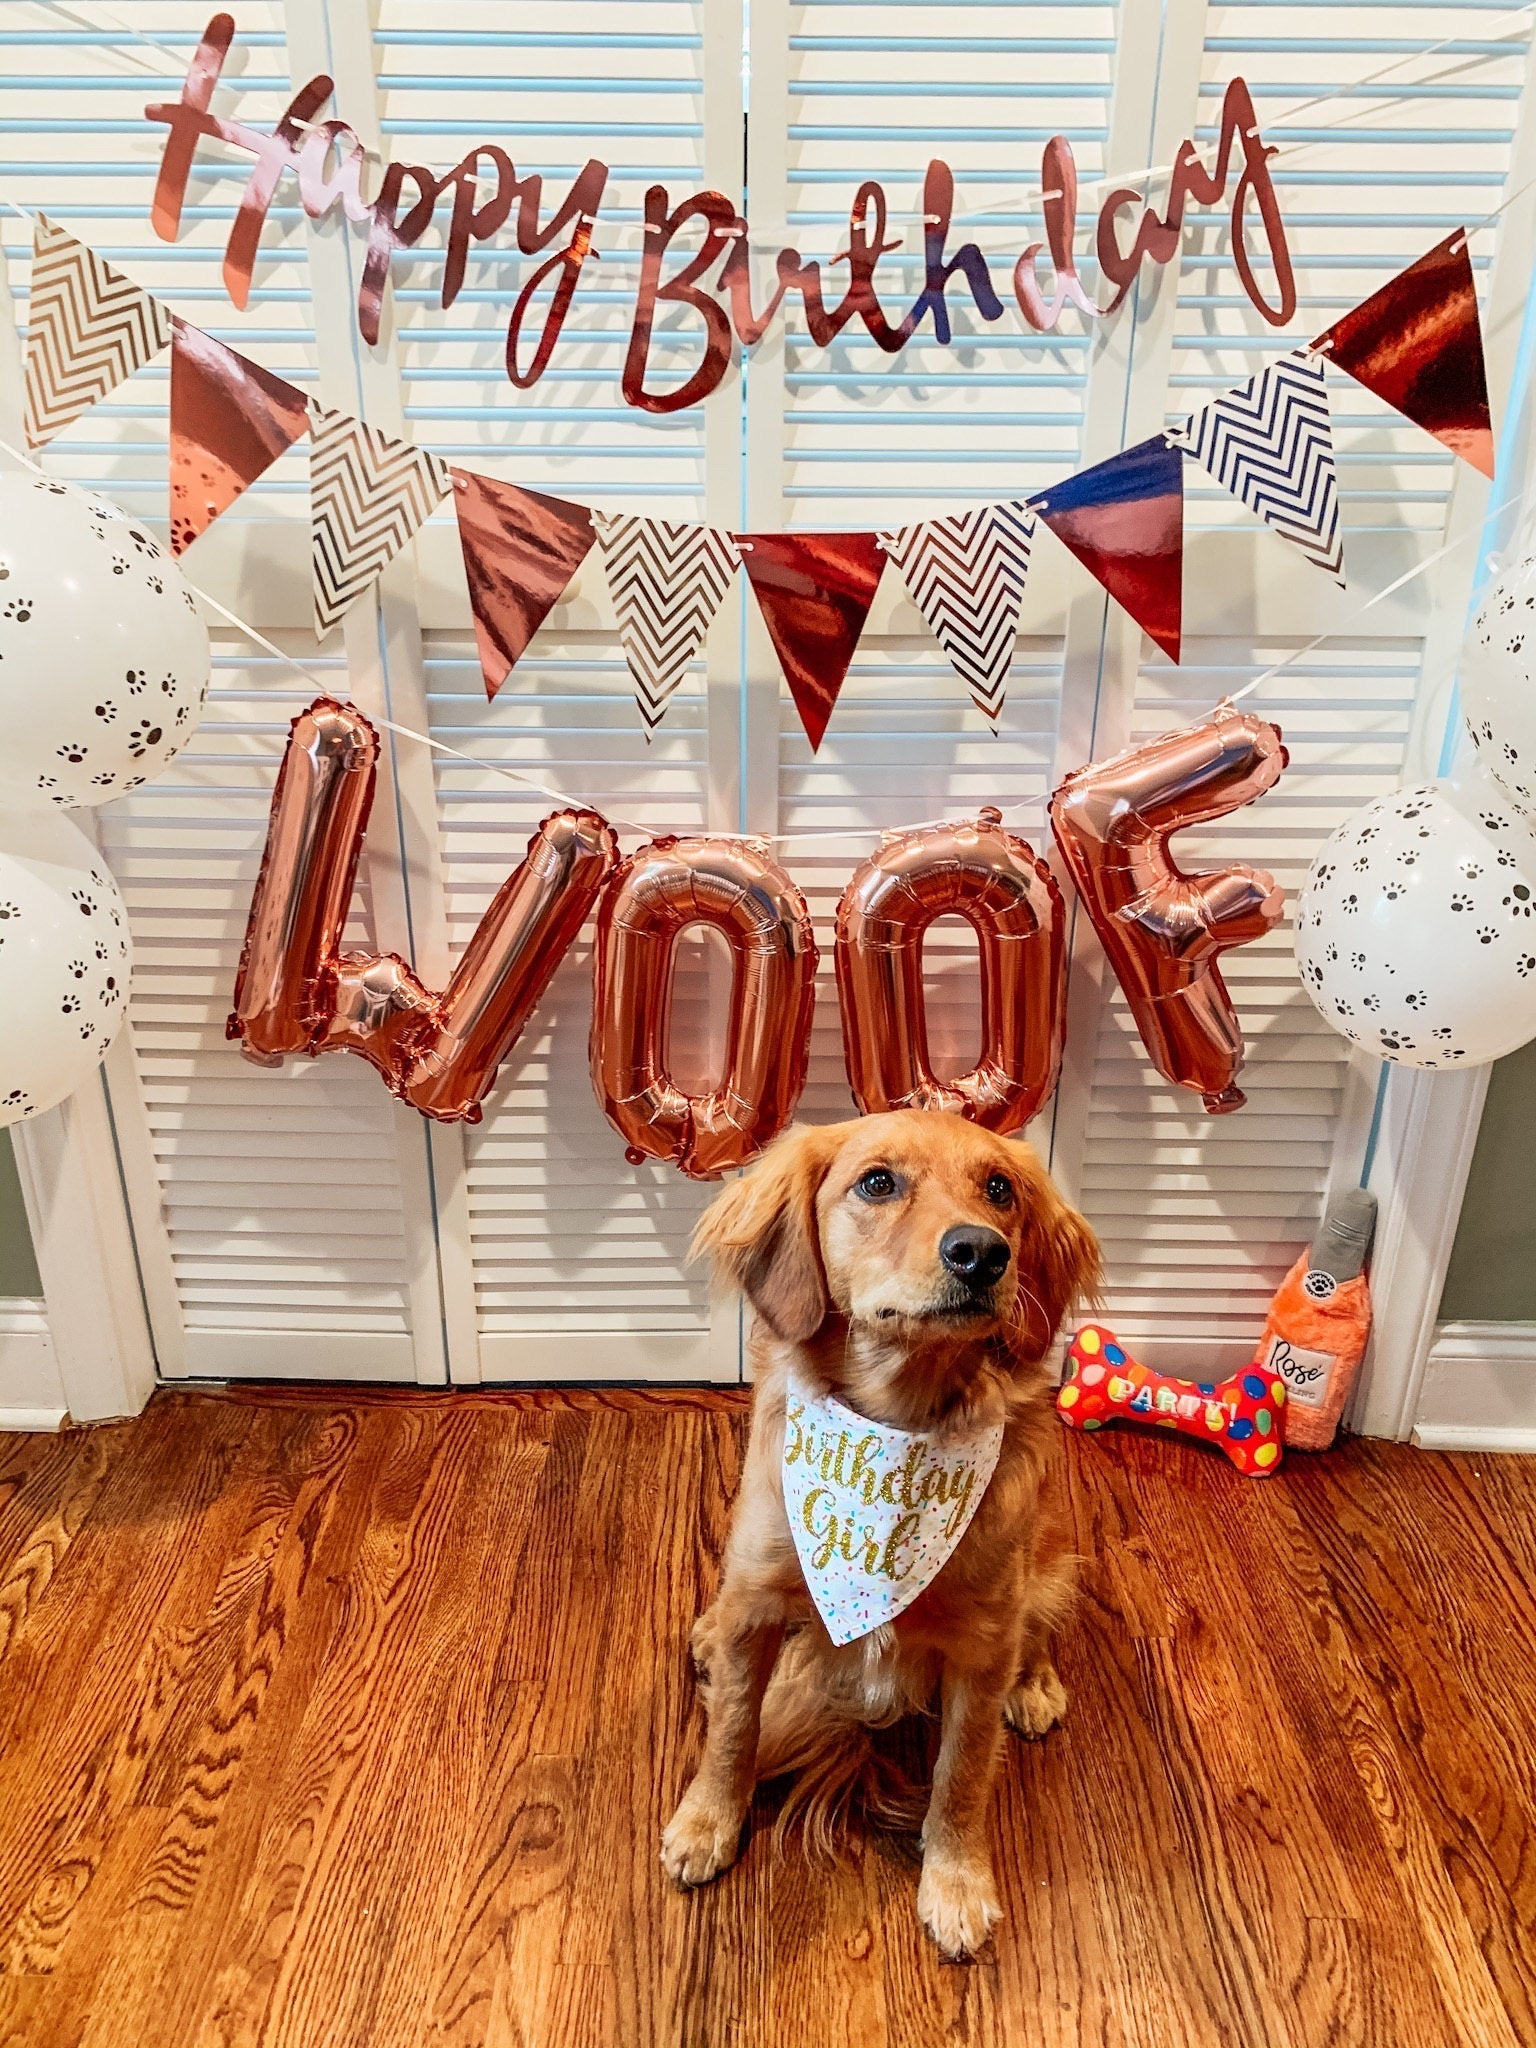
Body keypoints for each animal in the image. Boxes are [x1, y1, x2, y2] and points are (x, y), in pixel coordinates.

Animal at [655, 1114, 1097, 1957]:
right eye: (878, 1182)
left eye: (1000, 1189)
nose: (982, 1252)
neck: (899, 1422)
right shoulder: (758, 1601)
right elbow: (730, 1728)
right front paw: (706, 1823)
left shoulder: (983, 1643)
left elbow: (963, 1774)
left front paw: (956, 1883)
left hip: (1047, 1551)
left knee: (1042, 1625)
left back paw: (1036, 1687)